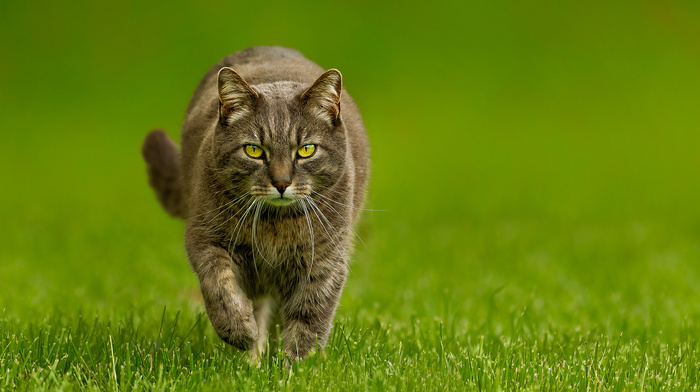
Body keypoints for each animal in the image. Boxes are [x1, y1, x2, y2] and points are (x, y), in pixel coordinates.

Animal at [142, 46, 372, 362]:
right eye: (253, 150)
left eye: (306, 150)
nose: (281, 182)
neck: (274, 225)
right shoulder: (205, 238)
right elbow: (220, 287)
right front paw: (241, 331)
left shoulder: (326, 257)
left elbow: (310, 317)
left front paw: (296, 365)